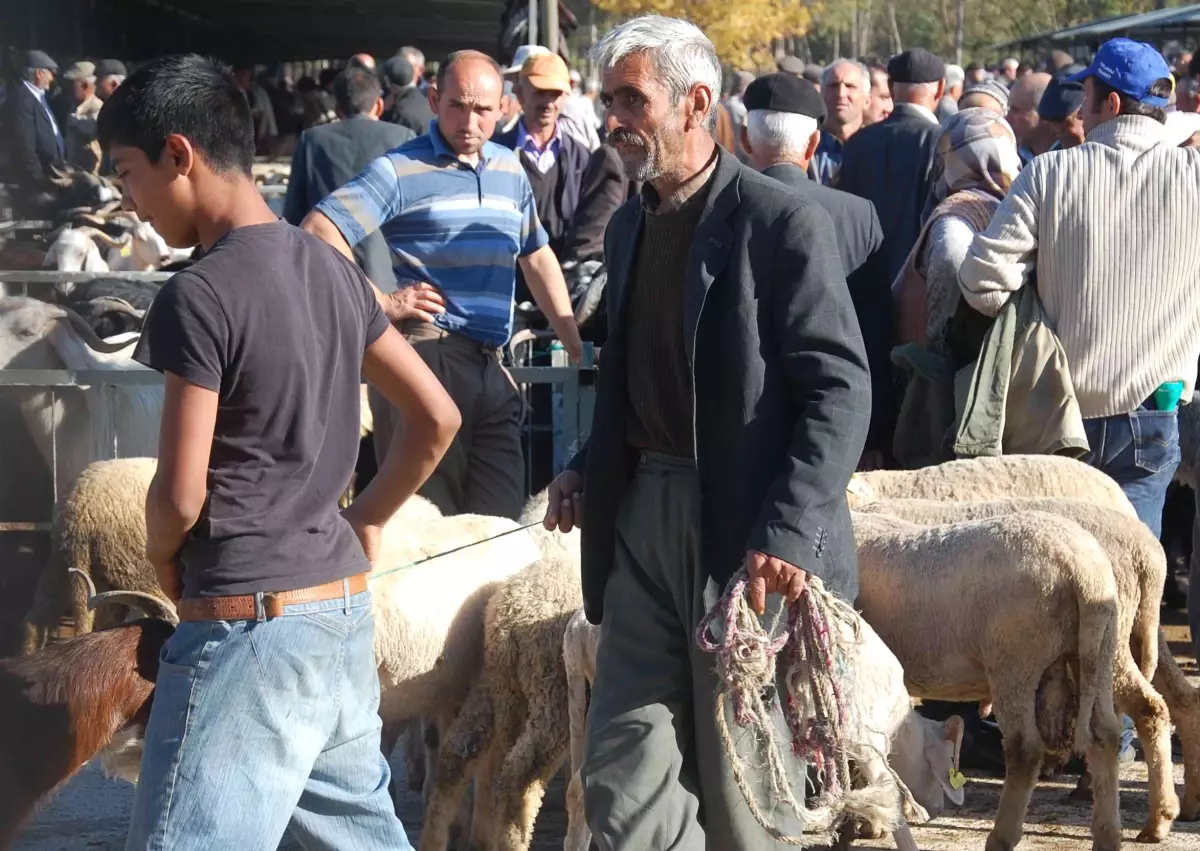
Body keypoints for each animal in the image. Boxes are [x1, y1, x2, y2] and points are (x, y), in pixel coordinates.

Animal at [859, 494, 1176, 840]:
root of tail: (1081, 569)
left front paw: (875, 819)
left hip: (1014, 658)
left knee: (1025, 749)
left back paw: (1003, 836)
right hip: (1102, 647)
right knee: (1123, 722)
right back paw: (1135, 826)